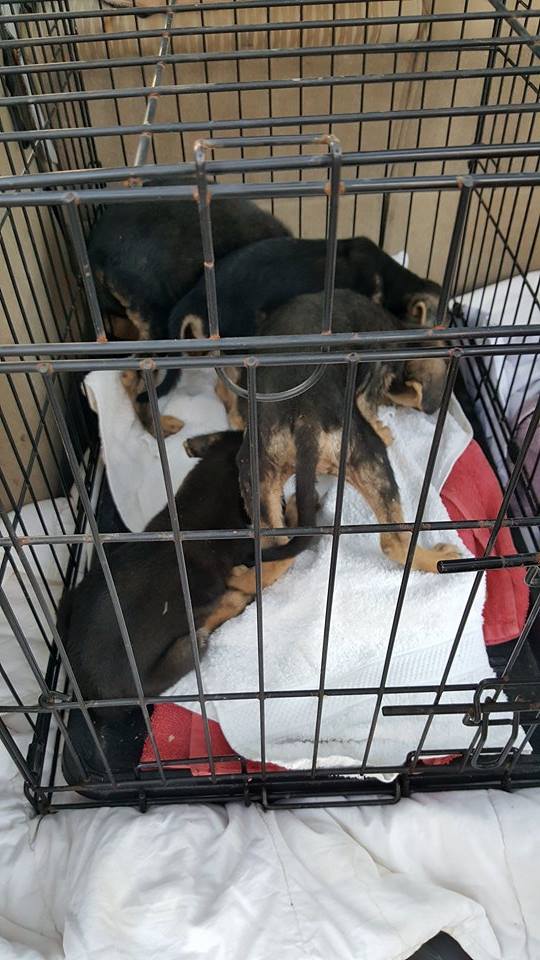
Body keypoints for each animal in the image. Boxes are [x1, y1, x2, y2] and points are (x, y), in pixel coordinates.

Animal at [231, 290, 459, 574]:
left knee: (277, 556)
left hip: (256, 473)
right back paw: (433, 558)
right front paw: (383, 427)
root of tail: (306, 419)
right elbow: (367, 403)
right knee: (393, 541)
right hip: (368, 454)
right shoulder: (377, 370)